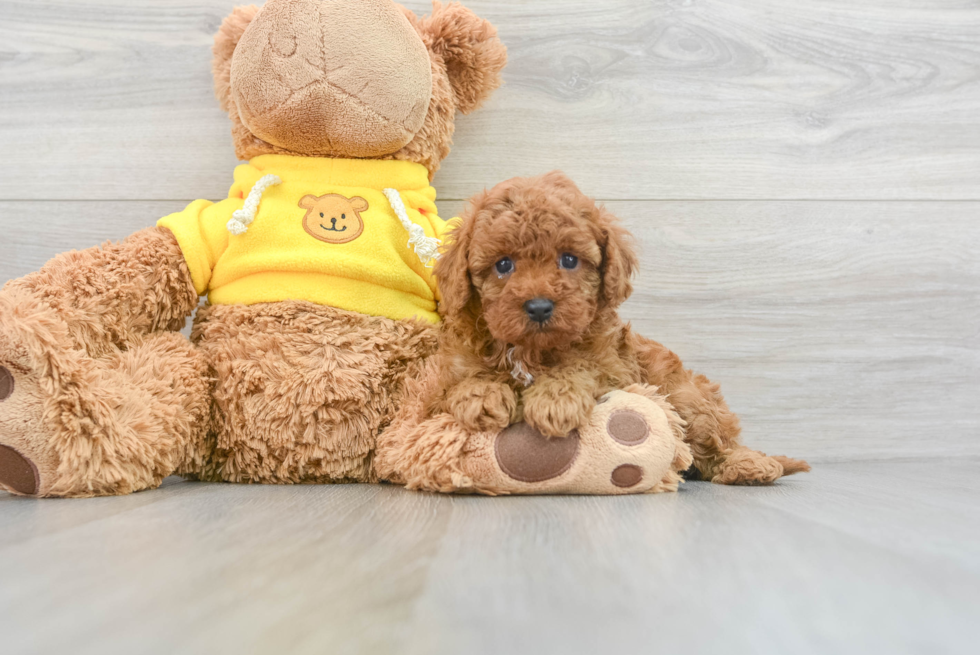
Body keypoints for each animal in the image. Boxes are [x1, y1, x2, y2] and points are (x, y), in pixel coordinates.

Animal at [432, 172, 808, 484]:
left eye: (569, 259)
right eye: (503, 265)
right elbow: (463, 379)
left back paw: (749, 465)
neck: (531, 350)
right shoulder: (448, 373)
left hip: (688, 398)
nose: (539, 306)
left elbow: (581, 366)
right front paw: (481, 395)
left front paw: (555, 400)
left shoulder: (614, 368)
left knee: (717, 443)